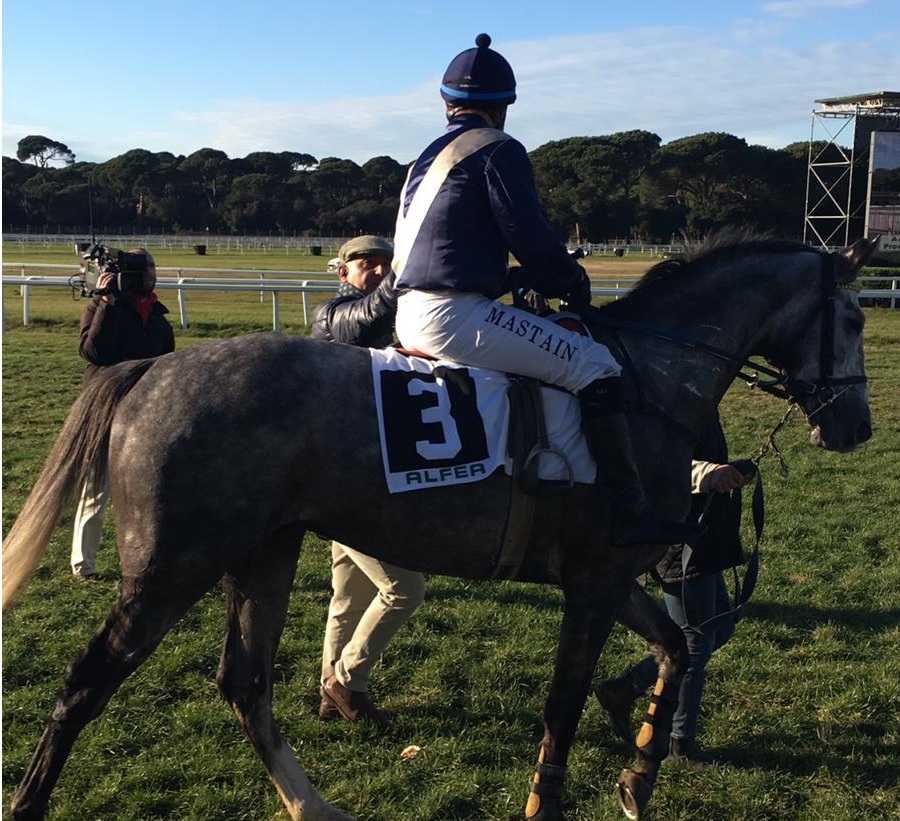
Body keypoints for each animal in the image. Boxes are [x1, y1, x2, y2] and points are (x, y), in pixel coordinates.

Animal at [0, 234, 872, 816]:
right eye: (859, 320)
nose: (856, 426)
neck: (643, 386)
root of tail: (152, 366)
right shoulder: (591, 585)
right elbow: (564, 704)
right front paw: (553, 797)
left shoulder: (612, 577)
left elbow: (676, 647)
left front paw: (639, 771)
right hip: (170, 569)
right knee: (85, 685)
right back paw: (34, 799)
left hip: (260, 554)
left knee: (244, 684)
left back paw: (316, 803)